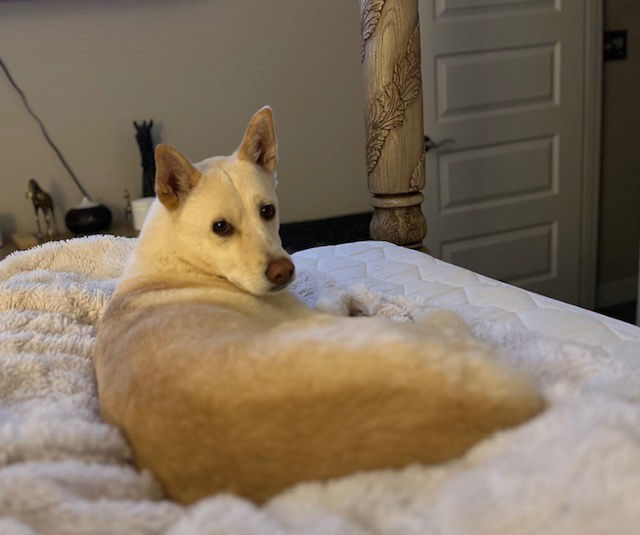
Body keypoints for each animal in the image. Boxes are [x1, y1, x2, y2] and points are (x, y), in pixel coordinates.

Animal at [94, 107, 544, 504]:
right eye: (220, 227)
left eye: (268, 210)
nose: (284, 272)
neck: (178, 260)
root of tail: (513, 408)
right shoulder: (313, 311)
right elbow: (338, 294)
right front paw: (358, 297)